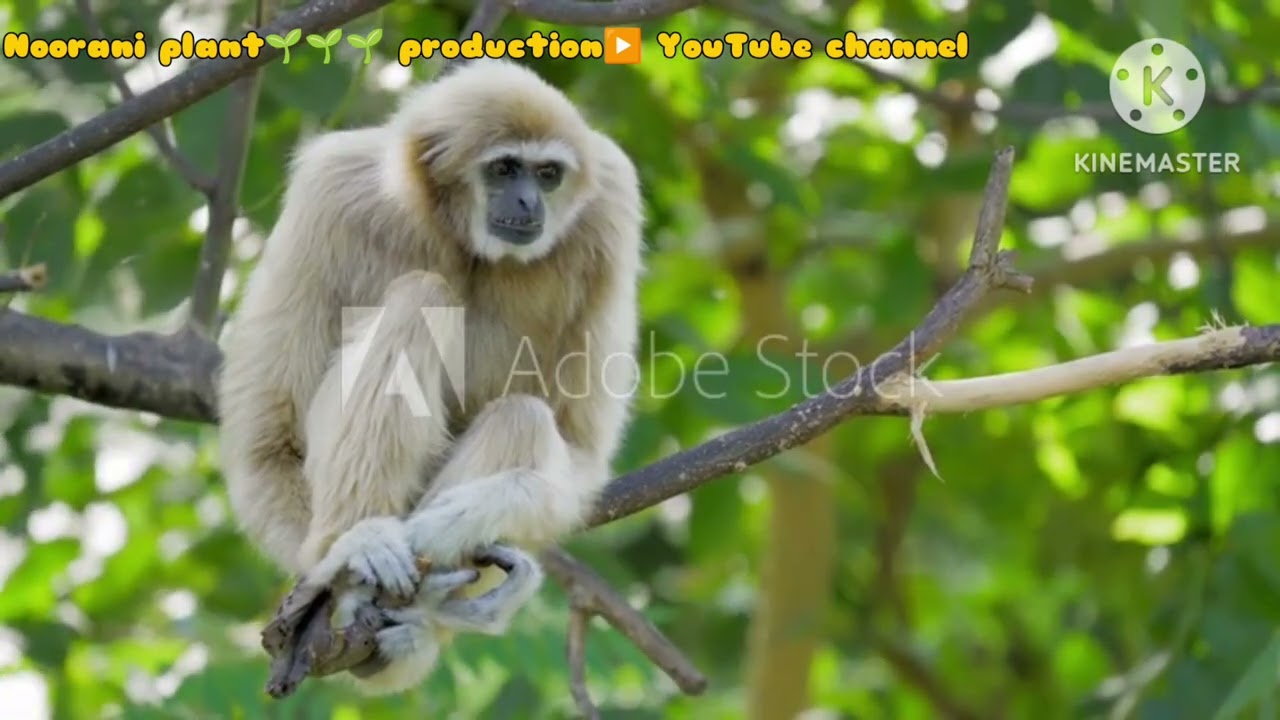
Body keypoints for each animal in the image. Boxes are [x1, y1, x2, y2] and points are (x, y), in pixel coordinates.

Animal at [216, 57, 643, 695]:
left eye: (548, 174)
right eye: (504, 168)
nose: (529, 200)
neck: (459, 235)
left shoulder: (611, 209)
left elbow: (580, 445)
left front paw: (463, 520)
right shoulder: (330, 189)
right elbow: (268, 444)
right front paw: (345, 550)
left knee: (523, 415)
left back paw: (424, 613)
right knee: (421, 296)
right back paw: (356, 565)